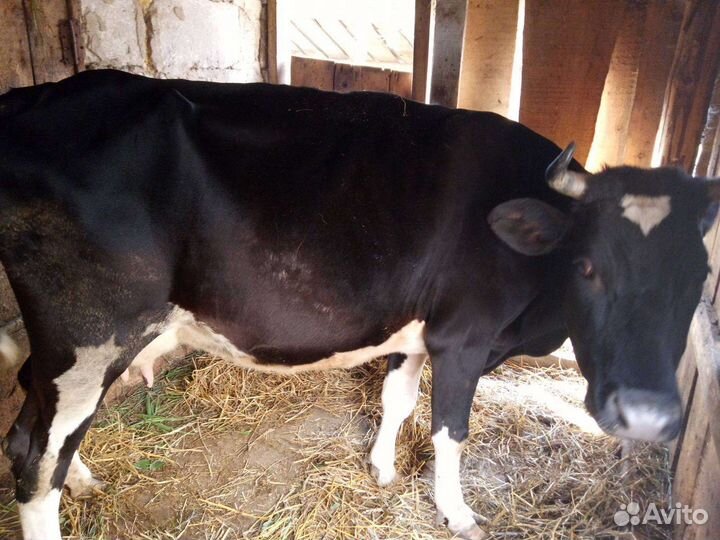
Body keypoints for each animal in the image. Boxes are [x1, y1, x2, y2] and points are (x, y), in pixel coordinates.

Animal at [0, 69, 716, 540]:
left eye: (699, 276)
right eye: (588, 266)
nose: (649, 416)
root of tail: (32, 97)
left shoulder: (419, 333)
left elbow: (397, 398)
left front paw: (381, 469)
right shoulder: (465, 338)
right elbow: (450, 430)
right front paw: (457, 513)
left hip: (72, 347)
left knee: (34, 413)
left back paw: (84, 480)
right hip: (90, 333)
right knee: (35, 455)